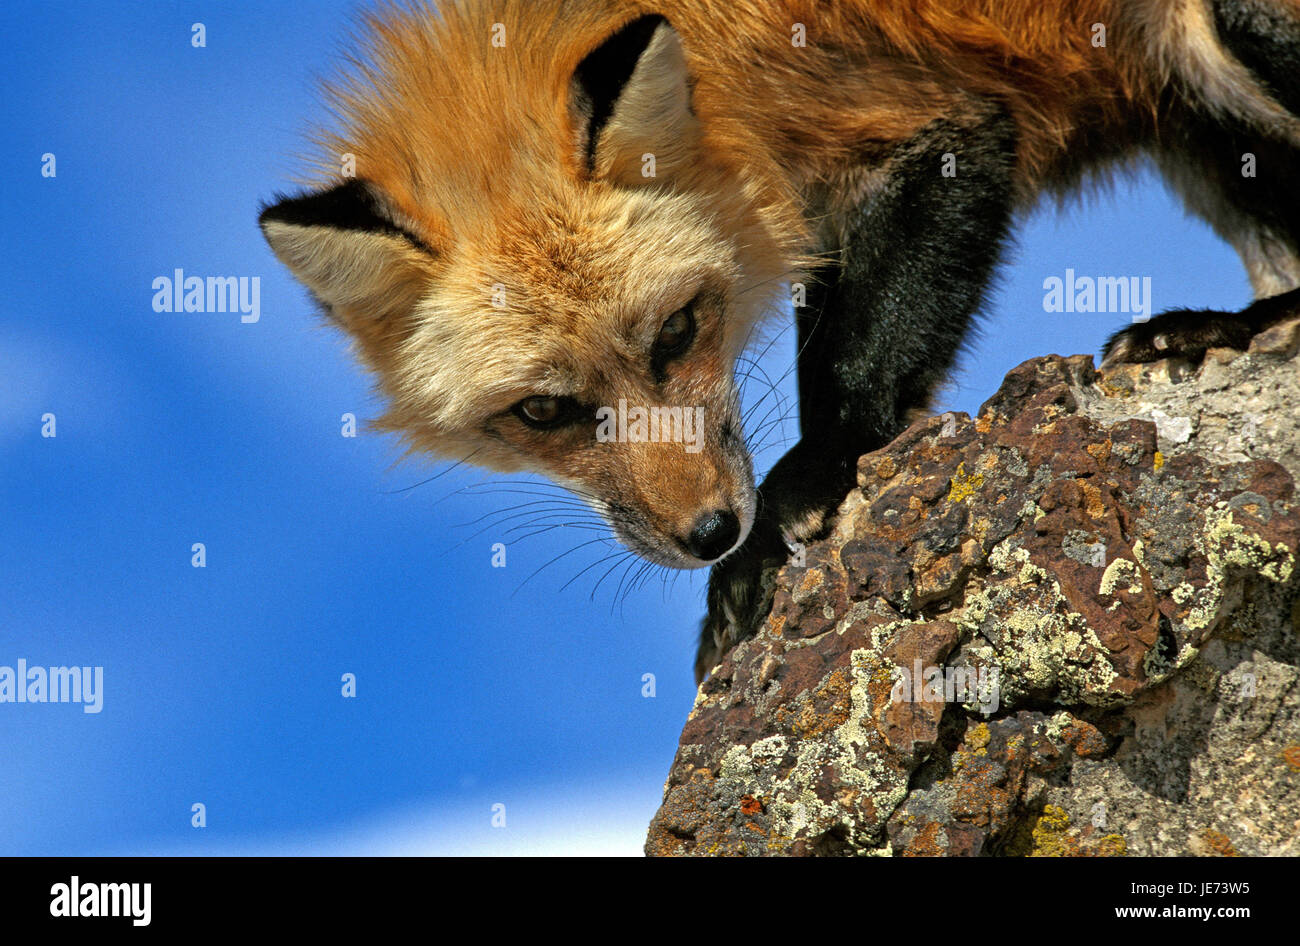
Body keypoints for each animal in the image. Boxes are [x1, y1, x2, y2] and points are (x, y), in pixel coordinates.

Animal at [260, 0, 1300, 683]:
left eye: (677, 330)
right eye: (544, 411)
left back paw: (1231, 330)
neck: (727, 85)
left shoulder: (930, 127)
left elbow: (854, 365)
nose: (710, 533)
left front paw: (799, 499)